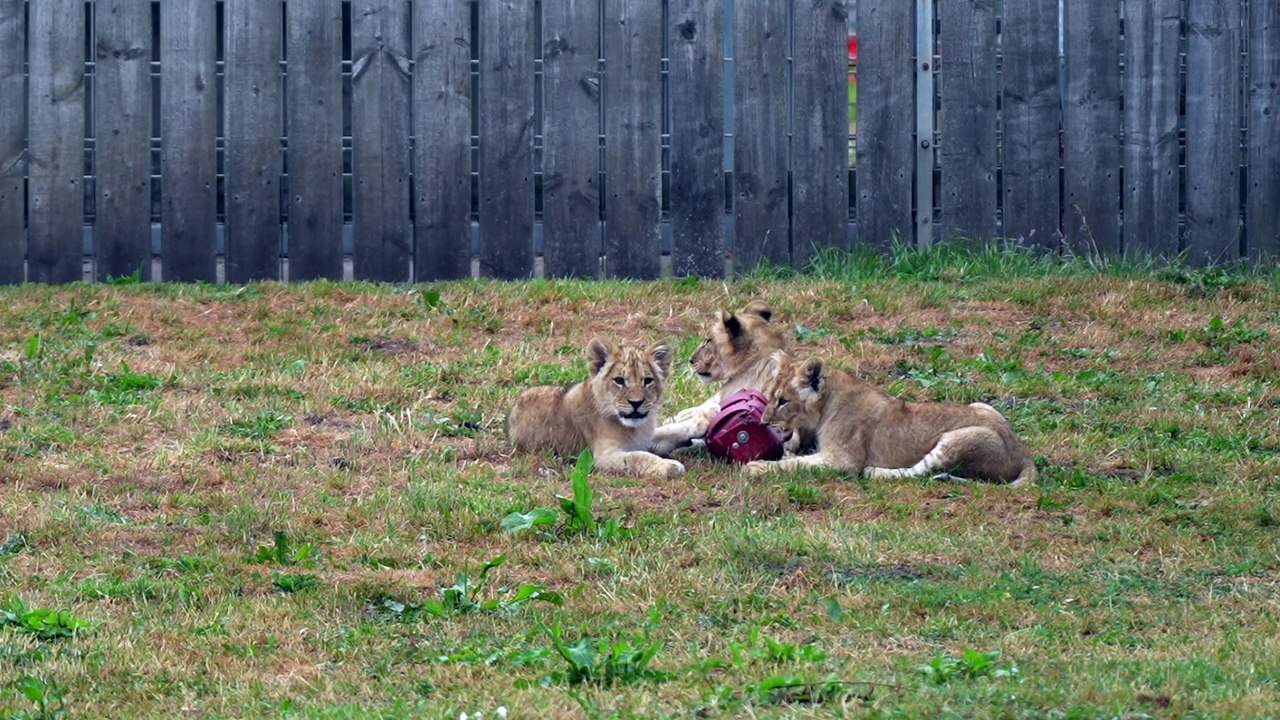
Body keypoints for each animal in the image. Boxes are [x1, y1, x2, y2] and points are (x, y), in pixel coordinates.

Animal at [508, 338, 684, 478]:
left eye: (647, 380)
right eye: (619, 380)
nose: (636, 402)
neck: (637, 428)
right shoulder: (603, 456)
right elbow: (638, 456)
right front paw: (669, 465)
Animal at [744, 354, 1037, 486]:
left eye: (783, 401)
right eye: (769, 397)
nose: (763, 422)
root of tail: (1024, 453)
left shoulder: (843, 461)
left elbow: (799, 465)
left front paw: (758, 466)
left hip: (960, 438)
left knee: (919, 471)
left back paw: (876, 472)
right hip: (983, 406)